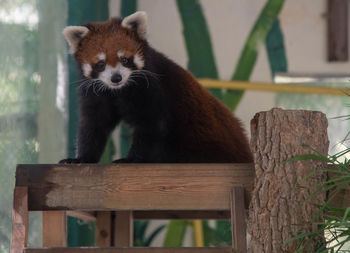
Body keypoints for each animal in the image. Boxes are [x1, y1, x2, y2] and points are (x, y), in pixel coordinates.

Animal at [59, 10, 252, 163]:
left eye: (124, 59)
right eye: (100, 64)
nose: (116, 78)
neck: (118, 91)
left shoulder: (153, 89)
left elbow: (152, 124)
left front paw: (132, 159)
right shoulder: (96, 93)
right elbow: (93, 124)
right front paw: (81, 158)